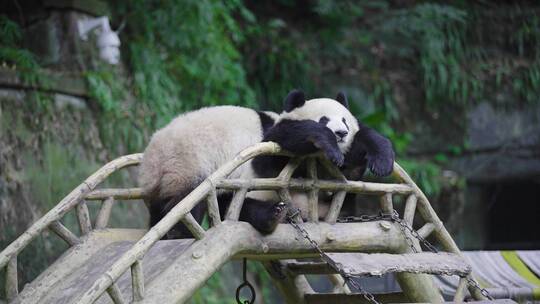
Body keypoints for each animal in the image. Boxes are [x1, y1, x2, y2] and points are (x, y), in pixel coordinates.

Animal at [137, 89, 394, 239]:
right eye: (324, 119)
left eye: (345, 120)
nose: (341, 133)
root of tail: (153, 162)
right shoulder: (267, 150)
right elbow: (284, 145)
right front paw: (329, 145)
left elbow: (349, 165)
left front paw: (381, 161)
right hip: (192, 164)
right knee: (190, 203)